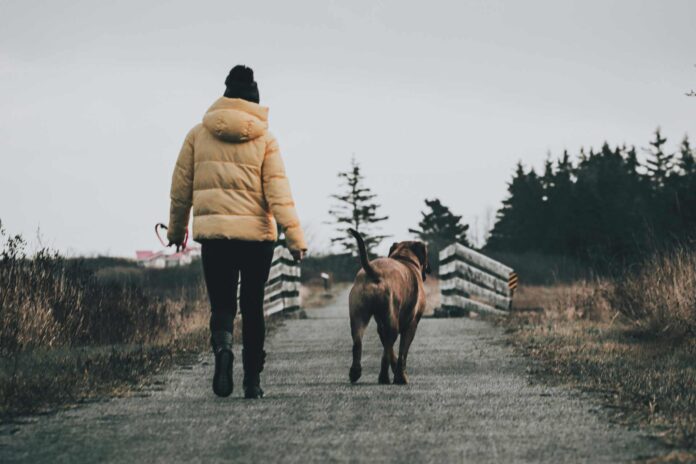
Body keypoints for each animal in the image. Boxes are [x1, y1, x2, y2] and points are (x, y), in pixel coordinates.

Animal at [348, 228, 430, 384]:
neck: (405, 258)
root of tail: (375, 272)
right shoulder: (411, 325)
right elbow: (402, 352)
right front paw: (400, 376)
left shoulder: (381, 326)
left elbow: (391, 350)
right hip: (392, 323)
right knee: (385, 353)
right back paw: (384, 377)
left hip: (358, 317)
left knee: (358, 343)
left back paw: (355, 372)